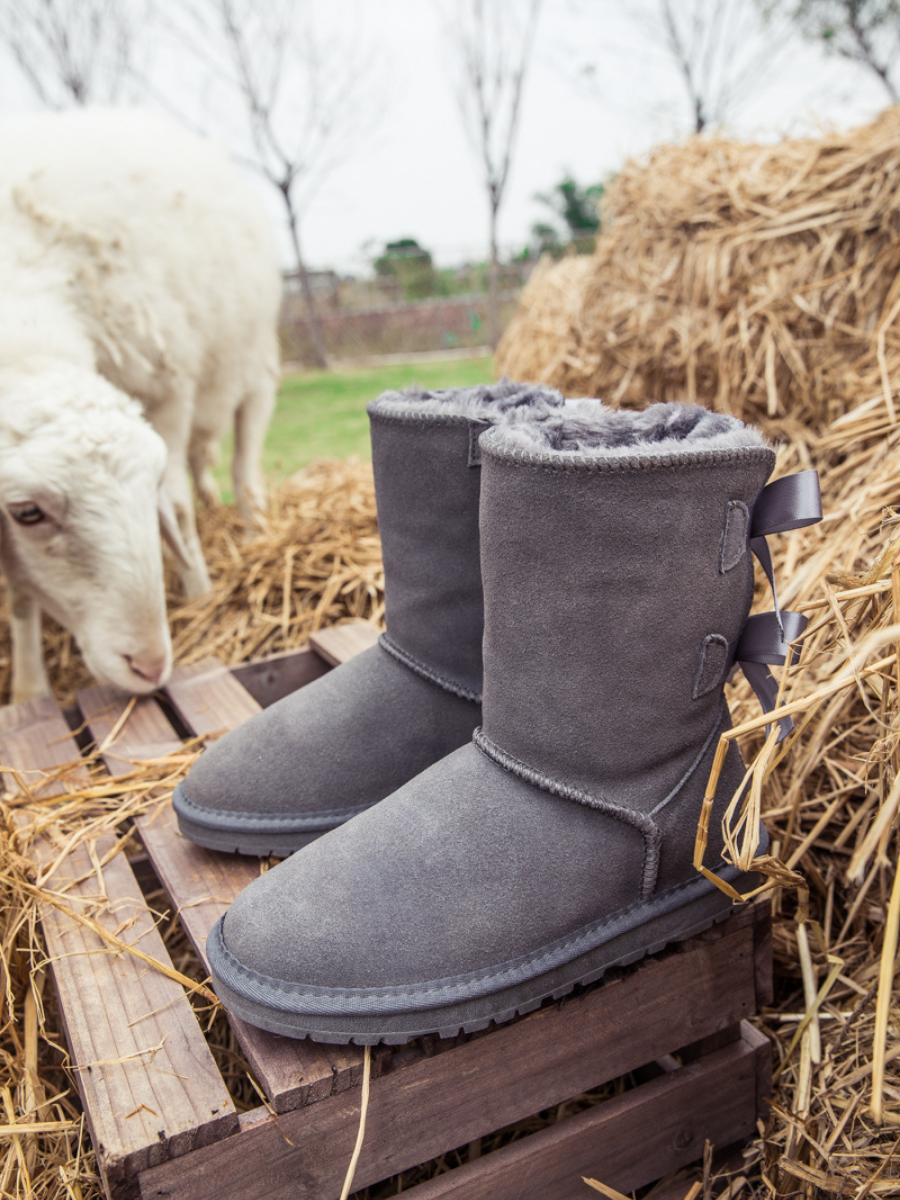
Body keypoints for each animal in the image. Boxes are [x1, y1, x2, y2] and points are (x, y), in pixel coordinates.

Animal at [0, 109, 282, 700]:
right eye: (26, 513)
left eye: (147, 486)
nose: (150, 664)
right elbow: (17, 589)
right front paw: (30, 690)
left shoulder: (166, 389)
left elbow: (176, 509)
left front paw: (200, 593)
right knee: (203, 458)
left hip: (254, 366)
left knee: (243, 465)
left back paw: (252, 527)